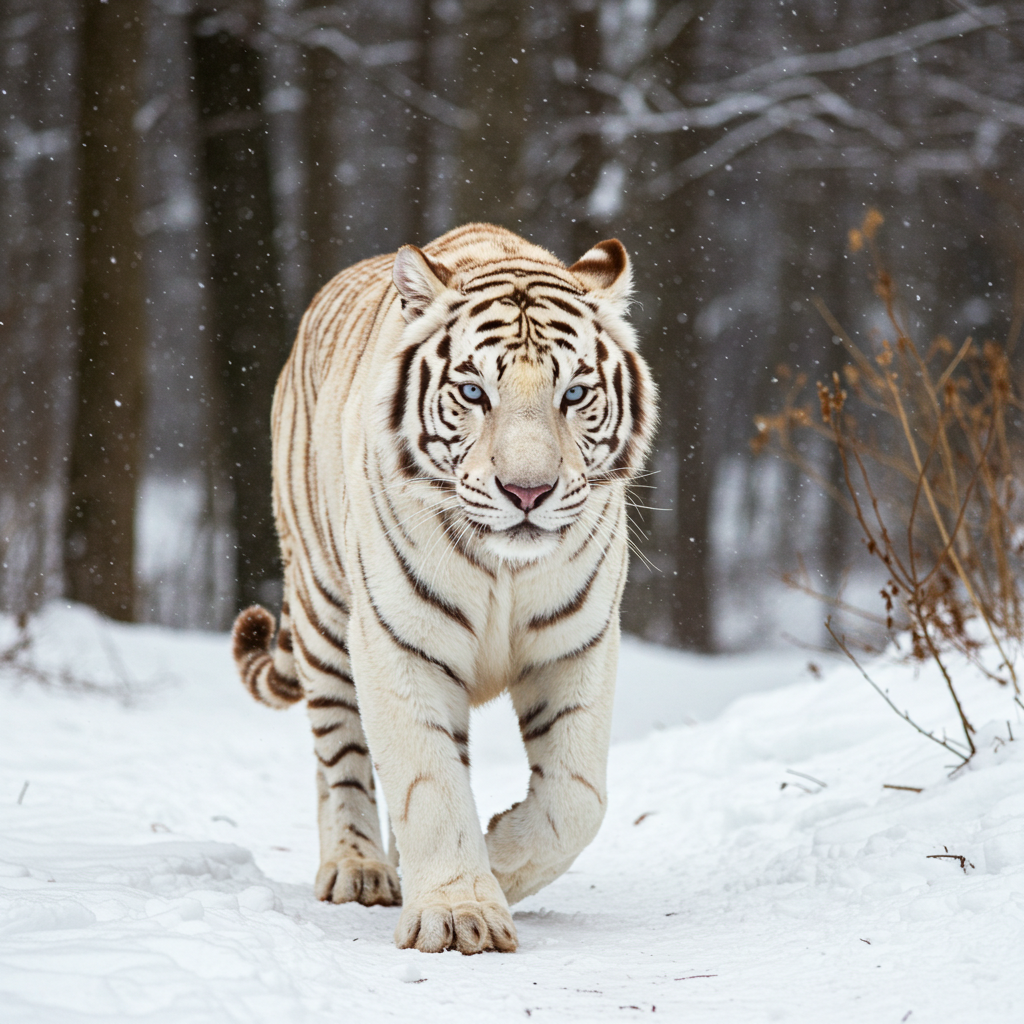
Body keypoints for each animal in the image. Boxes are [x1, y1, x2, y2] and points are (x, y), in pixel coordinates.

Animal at [231, 222, 656, 954]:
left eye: (573, 394)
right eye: (474, 393)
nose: (527, 491)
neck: (505, 569)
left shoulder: (577, 644)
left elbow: (577, 796)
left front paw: (498, 860)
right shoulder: (398, 645)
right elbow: (430, 786)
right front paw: (459, 914)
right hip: (324, 613)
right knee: (339, 757)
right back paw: (357, 868)